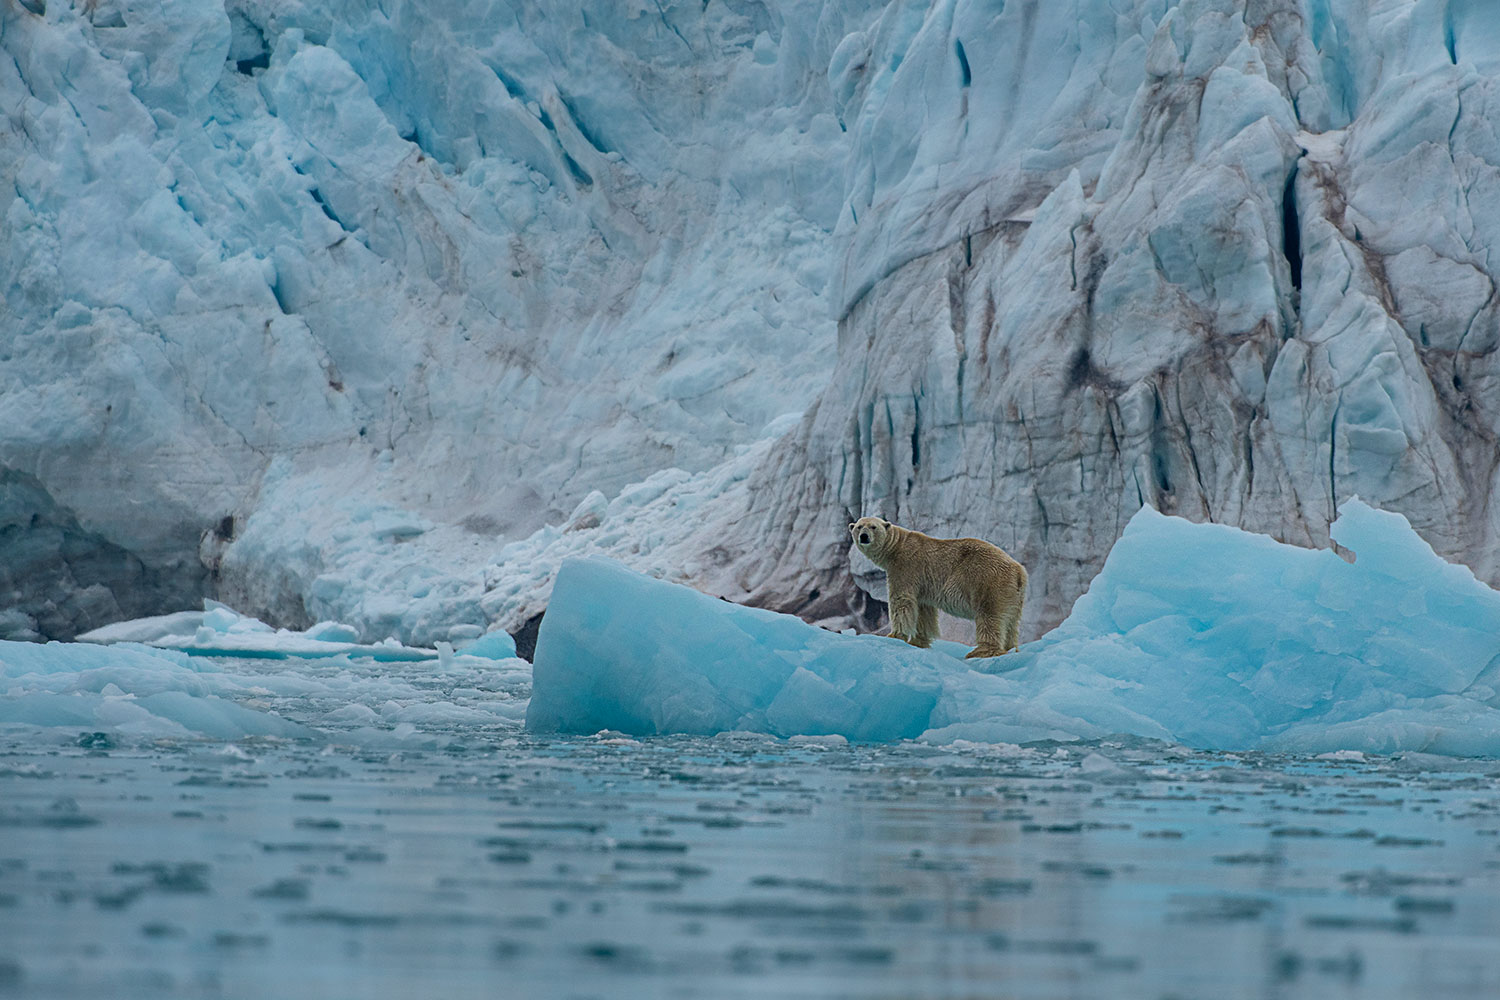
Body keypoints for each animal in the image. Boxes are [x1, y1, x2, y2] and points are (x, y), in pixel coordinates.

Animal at [848, 516, 1026, 659]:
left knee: (989, 615)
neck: (897, 546)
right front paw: (918, 641)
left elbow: (901, 600)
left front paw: (894, 635)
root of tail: (1019, 571)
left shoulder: (905, 566)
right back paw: (1011, 648)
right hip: (1013, 594)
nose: (864, 536)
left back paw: (981, 651)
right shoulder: (923, 585)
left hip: (988, 581)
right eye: (859, 527)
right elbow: (923, 610)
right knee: (1010, 622)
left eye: (873, 527)